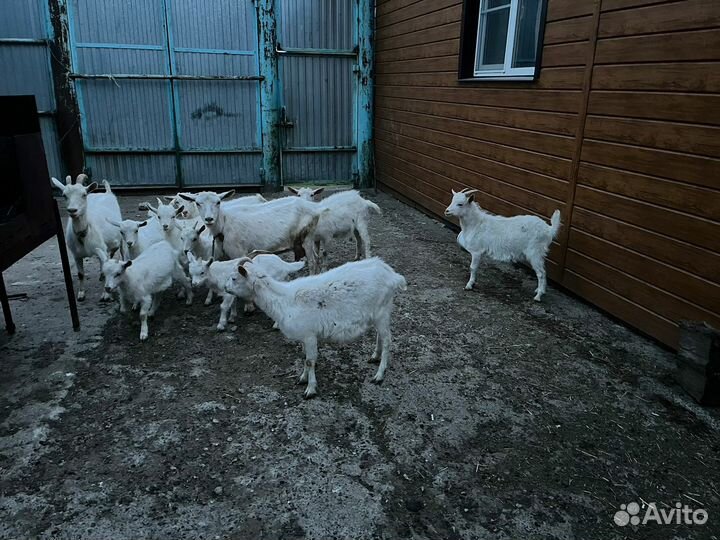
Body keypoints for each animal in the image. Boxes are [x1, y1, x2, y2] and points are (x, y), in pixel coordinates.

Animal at [227, 257, 406, 398]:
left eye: (234, 278)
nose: (225, 288)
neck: (284, 300)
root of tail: (392, 275)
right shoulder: (304, 337)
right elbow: (305, 358)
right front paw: (302, 378)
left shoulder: (309, 335)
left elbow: (310, 361)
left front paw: (310, 389)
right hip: (378, 314)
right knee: (380, 336)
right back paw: (374, 356)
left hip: (382, 311)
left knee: (388, 340)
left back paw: (379, 374)